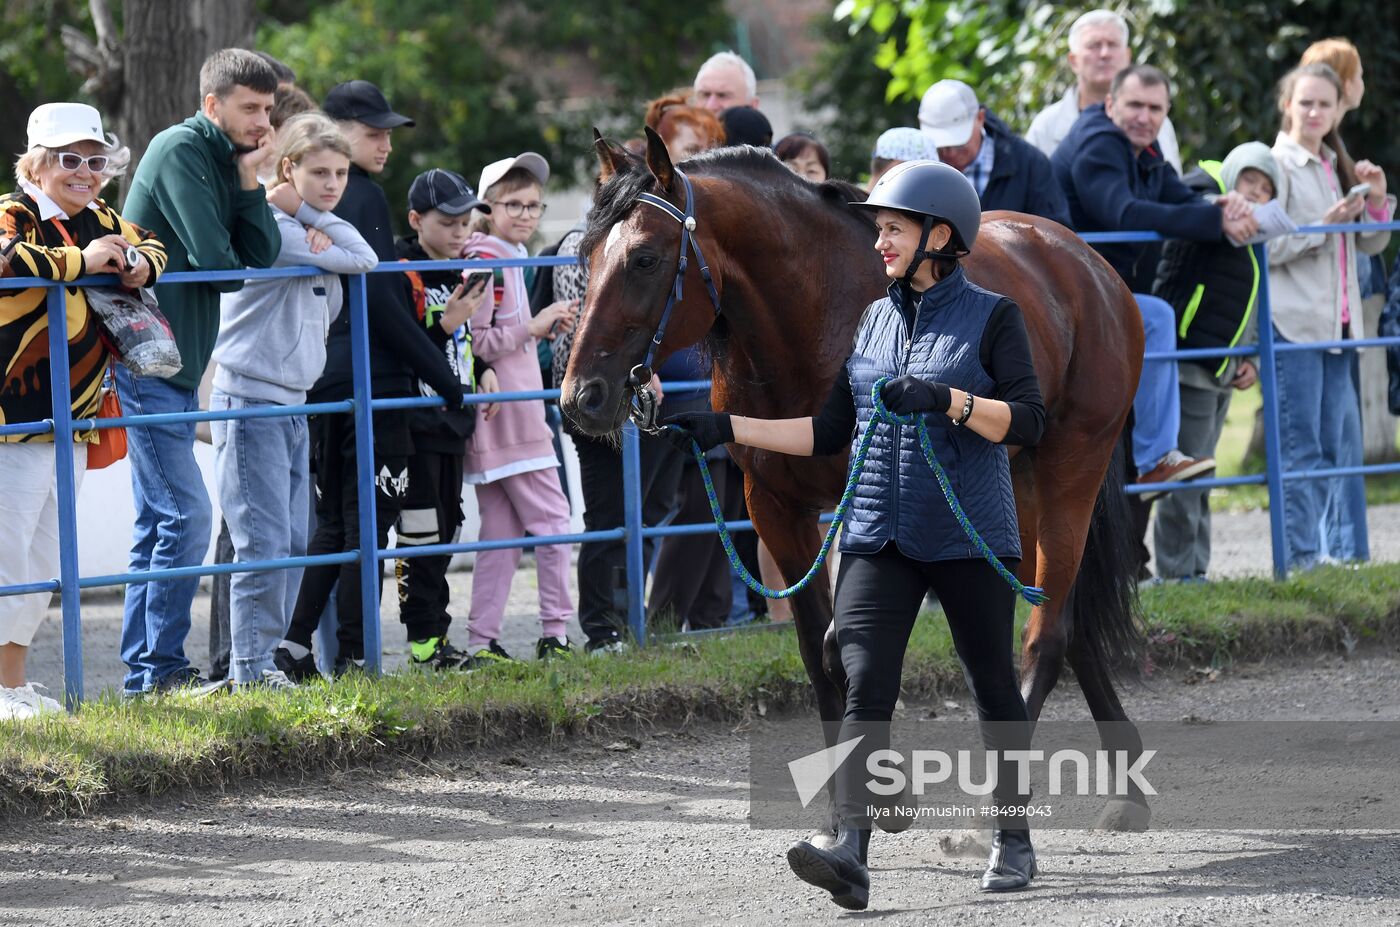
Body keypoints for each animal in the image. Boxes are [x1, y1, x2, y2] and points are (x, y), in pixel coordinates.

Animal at [562, 127, 1153, 828]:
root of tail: (1089, 265)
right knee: (1067, 619)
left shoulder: (866, 514)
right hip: (1017, 487)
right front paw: (867, 795)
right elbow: (819, 656)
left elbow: (848, 644)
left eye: (646, 259)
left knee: (1049, 634)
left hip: (1070, 469)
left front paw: (883, 790)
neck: (812, 317)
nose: (581, 397)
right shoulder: (775, 510)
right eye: (588, 255)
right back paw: (1127, 791)